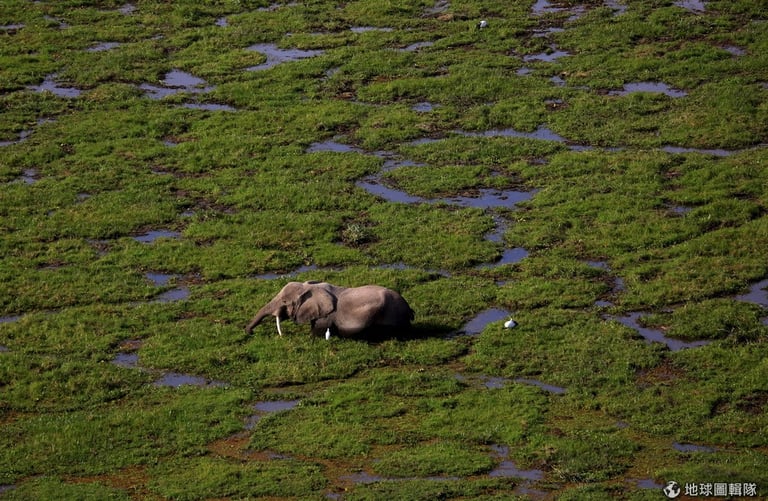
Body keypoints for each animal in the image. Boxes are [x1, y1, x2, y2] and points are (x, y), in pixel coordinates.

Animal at [246, 280, 414, 338]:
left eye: (285, 301)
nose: (250, 332)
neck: (309, 287)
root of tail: (409, 309)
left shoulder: (326, 316)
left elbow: (317, 331)